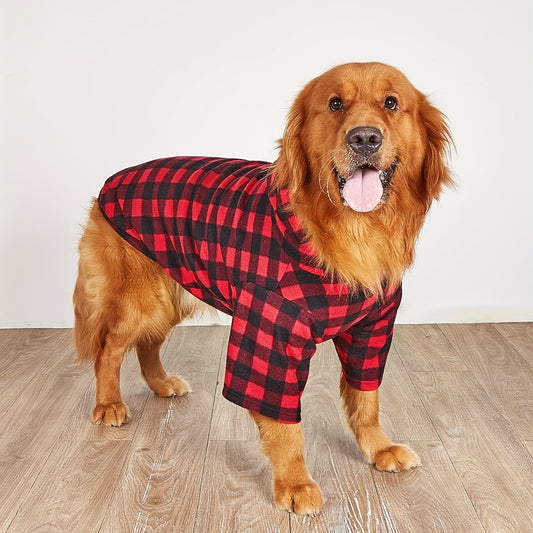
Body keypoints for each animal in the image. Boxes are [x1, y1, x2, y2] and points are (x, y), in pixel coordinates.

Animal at [72, 62, 450, 516]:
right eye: (334, 104)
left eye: (392, 103)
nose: (364, 138)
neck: (352, 232)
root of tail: (112, 180)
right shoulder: (270, 333)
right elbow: (285, 424)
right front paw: (295, 482)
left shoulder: (373, 327)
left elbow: (366, 399)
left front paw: (378, 448)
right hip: (140, 299)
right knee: (109, 350)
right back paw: (108, 403)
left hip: (172, 291)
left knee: (148, 343)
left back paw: (162, 384)